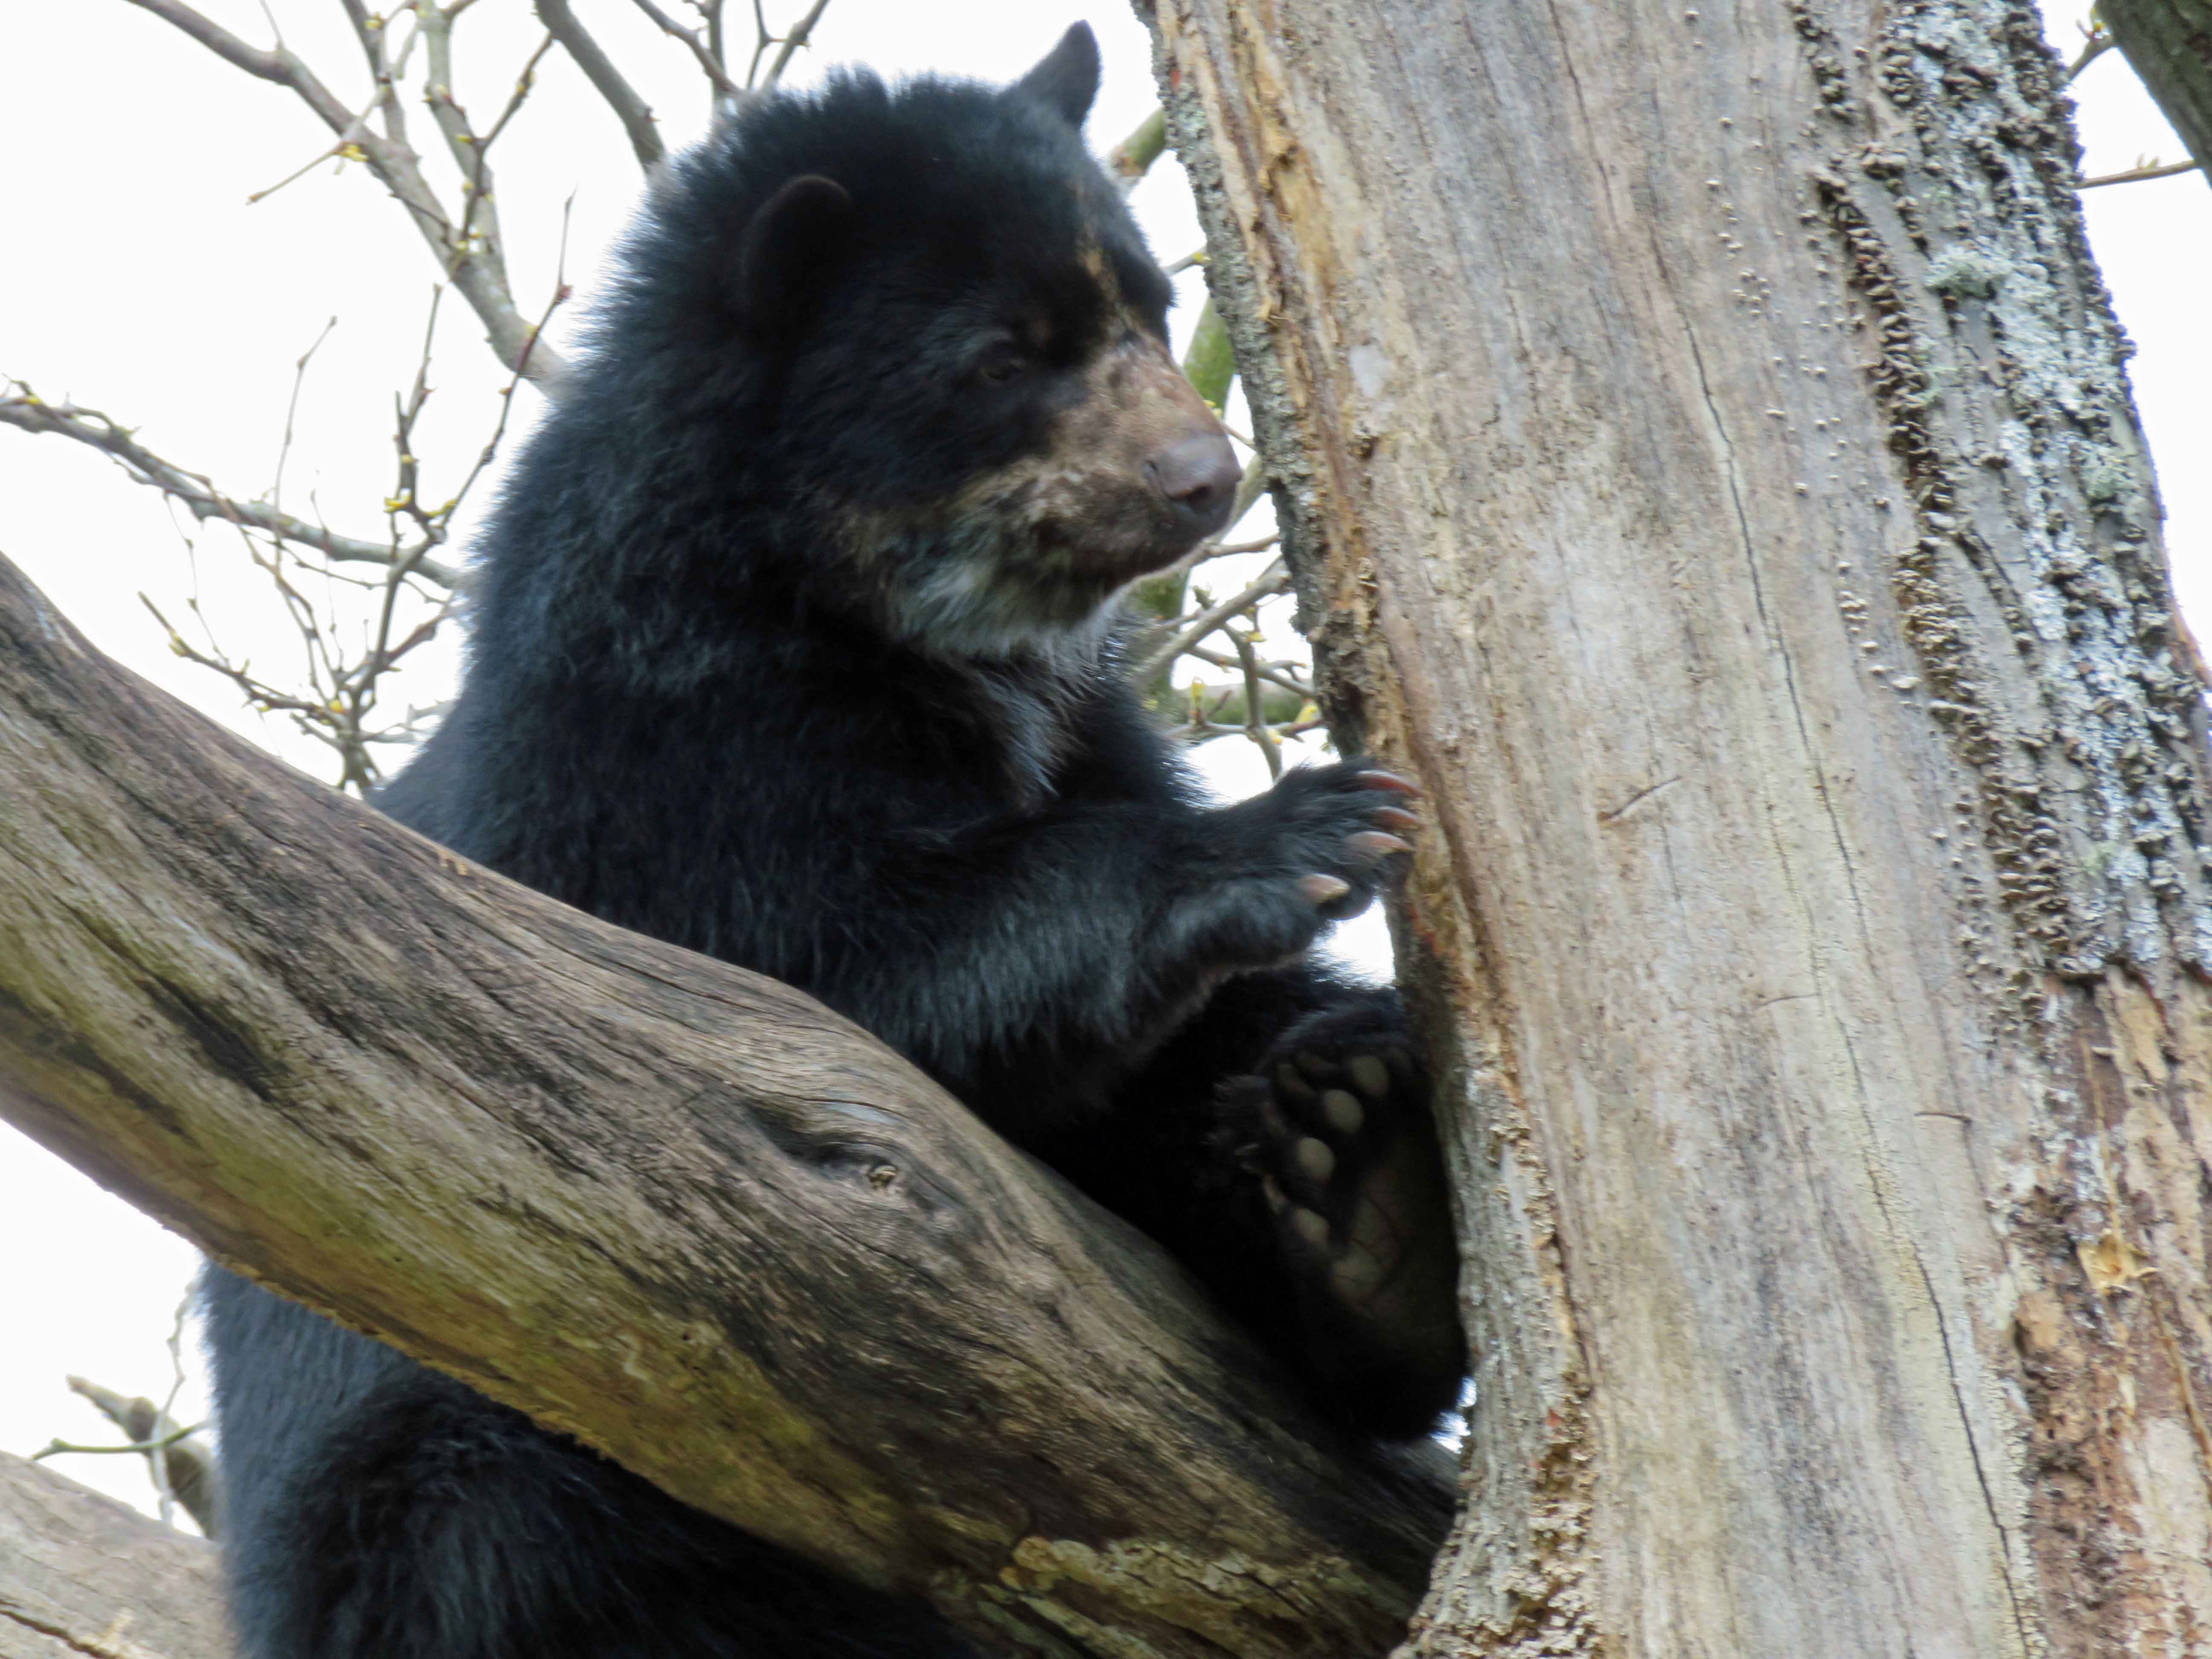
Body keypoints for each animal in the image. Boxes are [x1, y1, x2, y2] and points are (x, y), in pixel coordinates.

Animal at [199, 29, 1460, 1659]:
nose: (1203, 478)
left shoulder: (1077, 724)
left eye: (1151, 311)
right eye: (1002, 357)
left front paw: (1354, 1141)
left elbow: (1187, 1054)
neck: (901, 629)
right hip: (445, 1499)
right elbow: (836, 985)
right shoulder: (657, 767)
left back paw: (1370, 1199)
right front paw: (1306, 824)